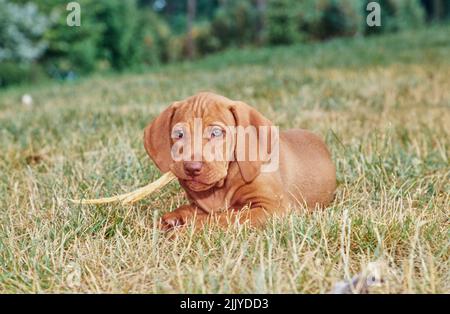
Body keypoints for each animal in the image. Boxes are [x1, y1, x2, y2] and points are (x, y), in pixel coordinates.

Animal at [142, 92, 336, 229]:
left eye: (216, 133)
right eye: (179, 134)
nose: (191, 168)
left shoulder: (272, 208)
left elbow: (223, 218)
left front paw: (186, 229)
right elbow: (201, 211)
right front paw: (175, 217)